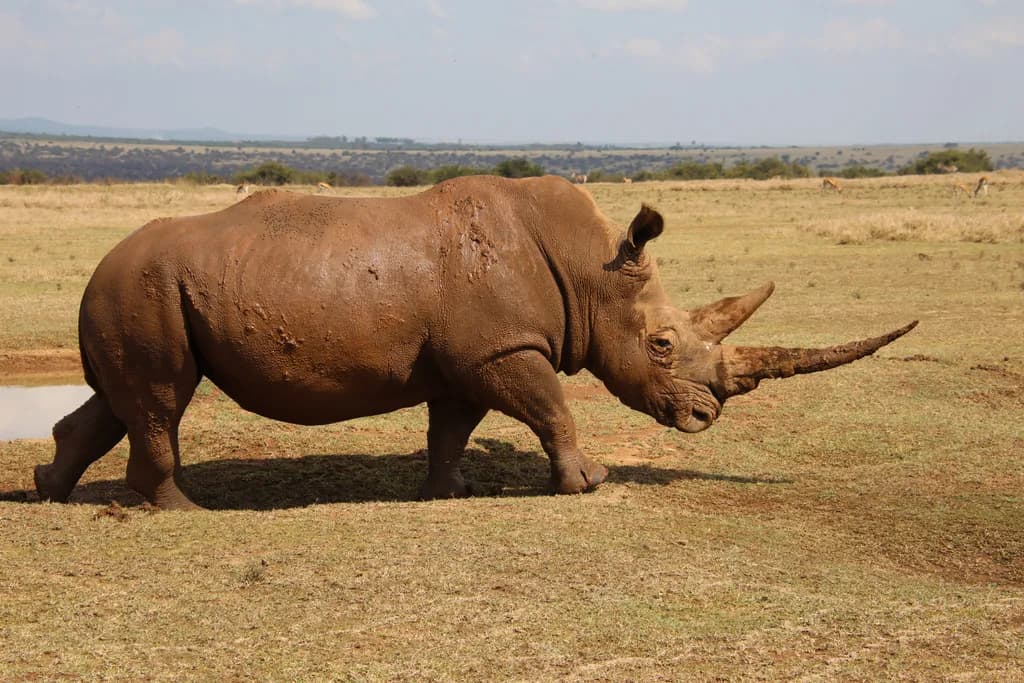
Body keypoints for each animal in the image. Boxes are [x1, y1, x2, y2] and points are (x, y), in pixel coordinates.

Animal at [34, 175, 916, 510]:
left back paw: (51, 488)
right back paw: (185, 509)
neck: (591, 269)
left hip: (135, 291)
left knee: (121, 398)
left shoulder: (473, 355)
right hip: (144, 288)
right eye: (663, 344)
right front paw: (587, 484)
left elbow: (452, 427)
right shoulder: (505, 349)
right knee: (161, 398)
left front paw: (451, 490)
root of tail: (98, 265)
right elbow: (555, 409)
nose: (705, 415)